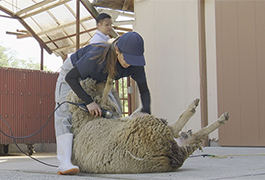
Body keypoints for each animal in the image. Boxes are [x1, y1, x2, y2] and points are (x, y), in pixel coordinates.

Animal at [66, 78, 229, 174]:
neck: (84, 119)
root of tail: (170, 152)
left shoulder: (126, 116)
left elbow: (132, 109)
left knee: (189, 136)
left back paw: (217, 117)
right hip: (152, 126)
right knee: (177, 129)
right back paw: (207, 113)